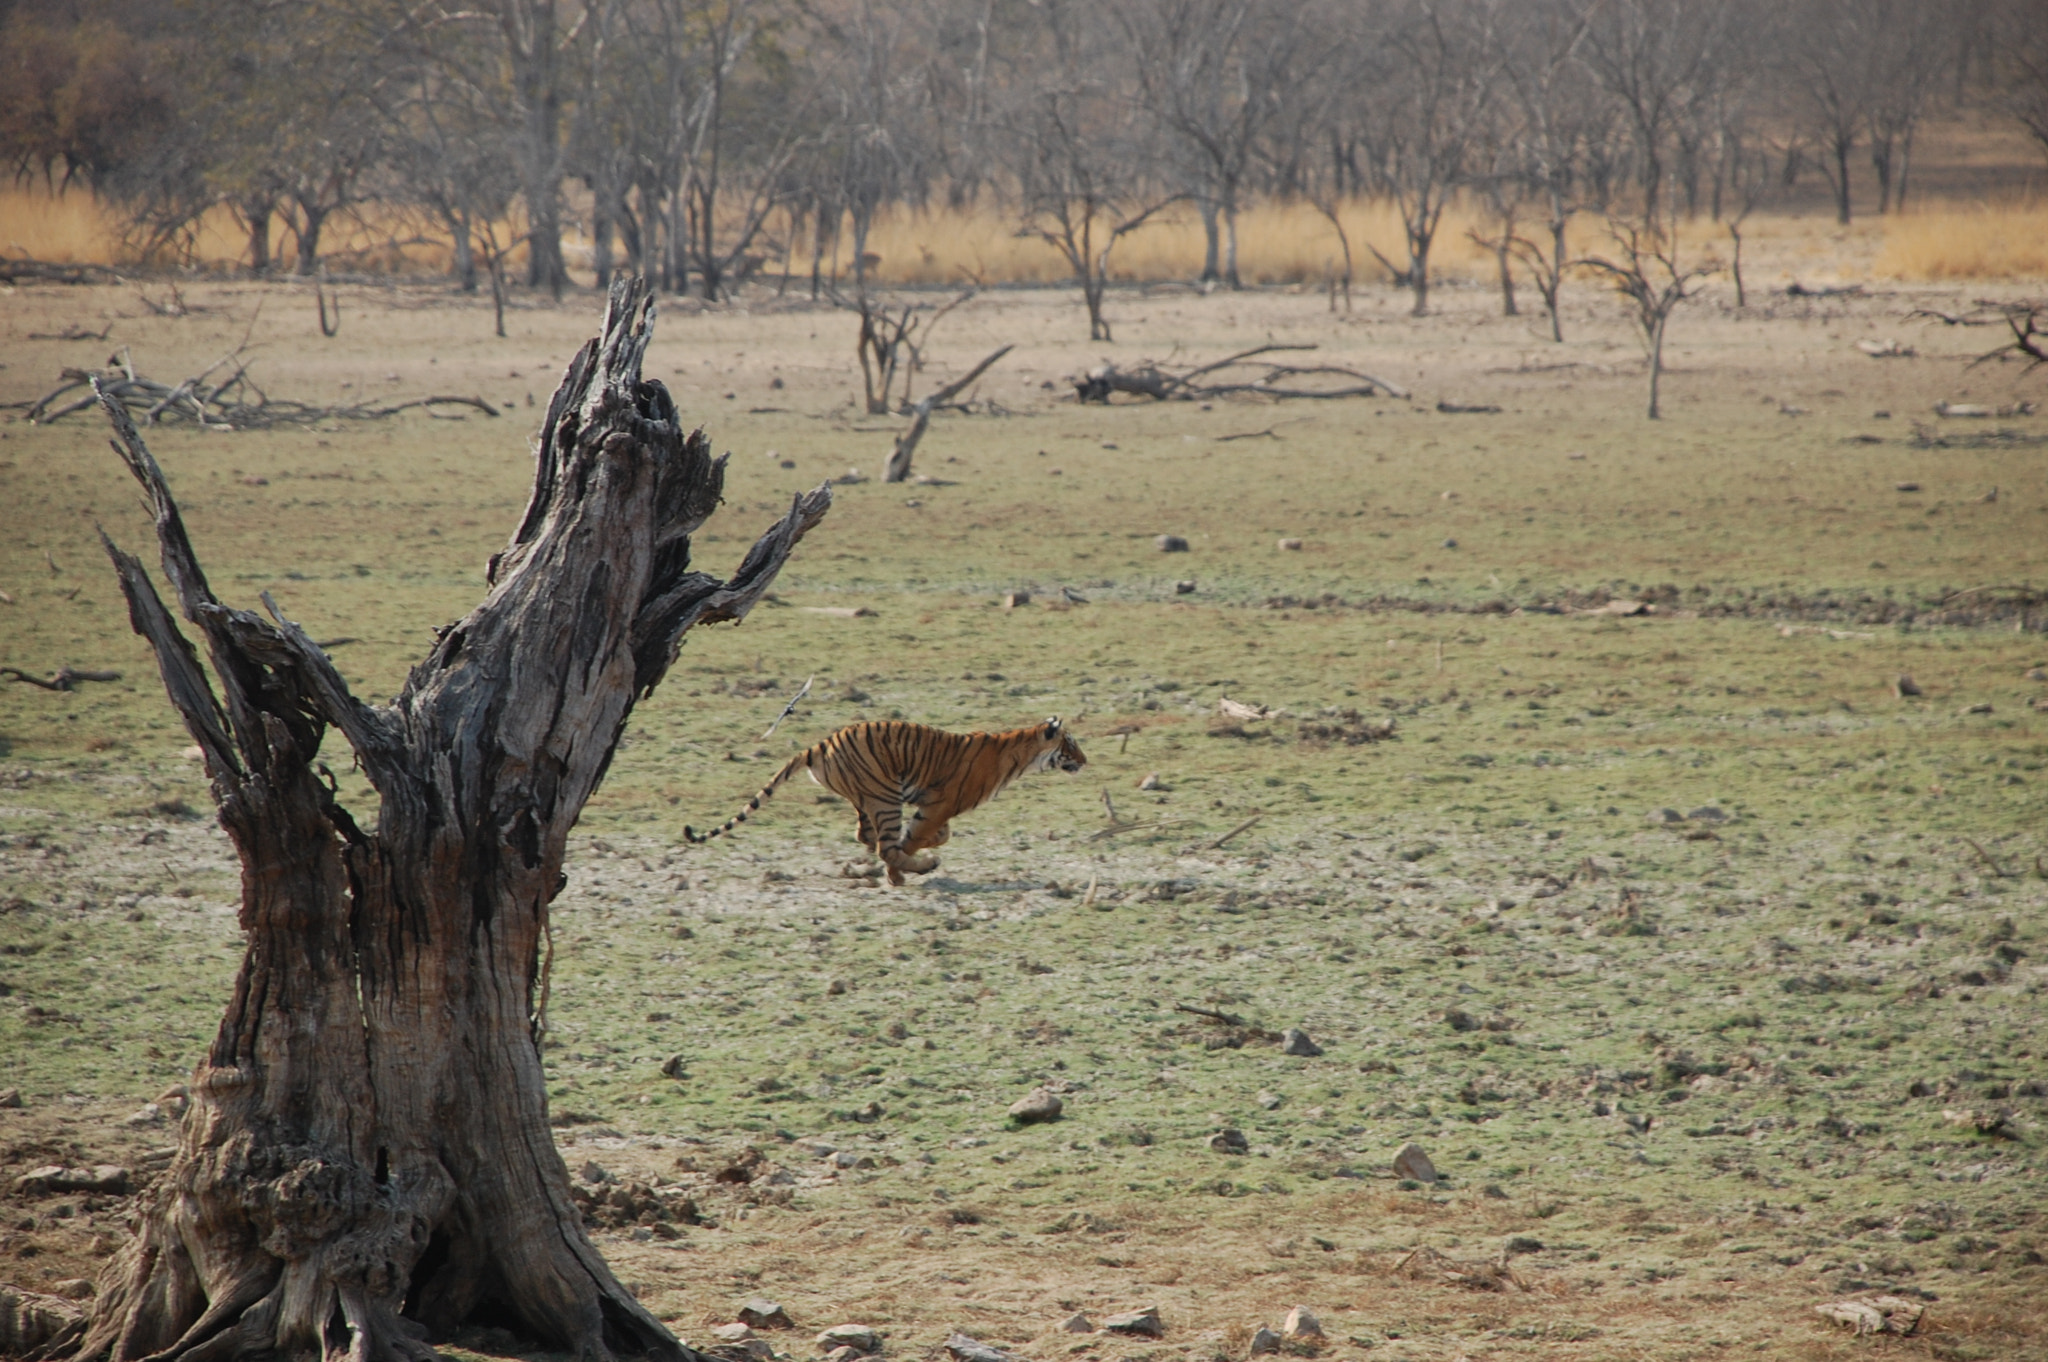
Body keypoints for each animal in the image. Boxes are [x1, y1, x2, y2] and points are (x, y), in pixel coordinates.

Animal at [684, 717, 1087, 885]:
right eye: (1070, 744)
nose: (1085, 761)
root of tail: (819, 744)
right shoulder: (940, 804)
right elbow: (915, 838)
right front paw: (905, 868)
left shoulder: (933, 806)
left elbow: (937, 834)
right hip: (885, 796)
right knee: (884, 845)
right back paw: (915, 869)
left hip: (868, 796)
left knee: (865, 835)